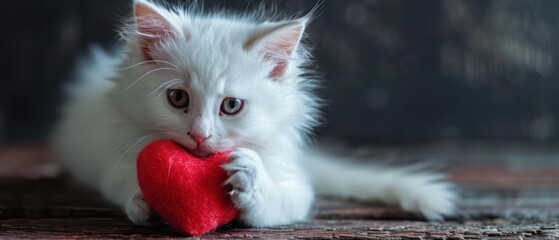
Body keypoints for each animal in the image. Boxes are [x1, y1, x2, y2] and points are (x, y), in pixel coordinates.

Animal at [51, 0, 456, 228]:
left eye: (231, 106)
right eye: (178, 98)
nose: (199, 135)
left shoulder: (294, 181)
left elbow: (281, 202)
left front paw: (251, 180)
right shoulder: (115, 155)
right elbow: (121, 181)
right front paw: (144, 202)